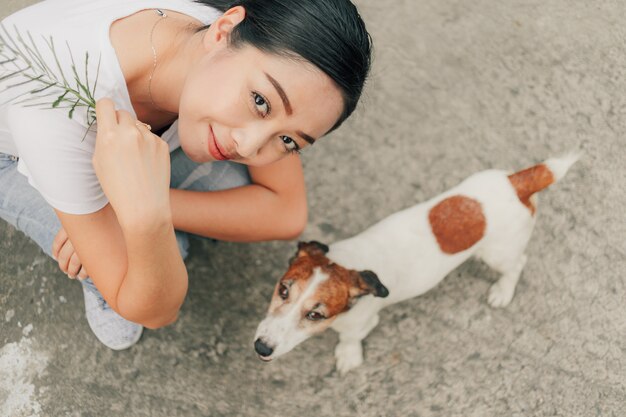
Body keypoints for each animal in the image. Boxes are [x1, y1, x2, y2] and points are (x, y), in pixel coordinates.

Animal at [251, 154, 576, 374]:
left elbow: (350, 339)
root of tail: (517, 183)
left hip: (499, 253)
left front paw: (347, 355)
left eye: (315, 315)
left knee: (517, 264)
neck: (346, 263)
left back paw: (502, 292)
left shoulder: (361, 323)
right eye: (283, 290)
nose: (261, 347)